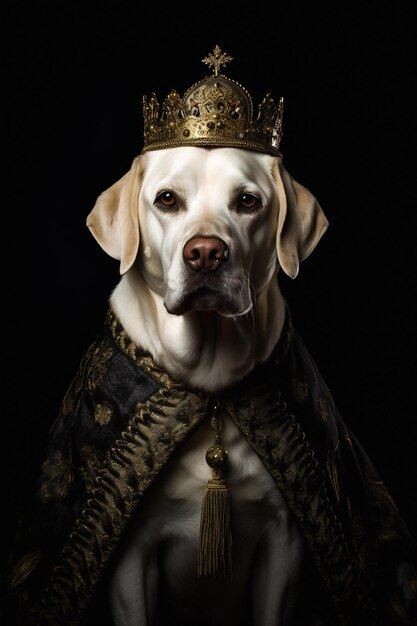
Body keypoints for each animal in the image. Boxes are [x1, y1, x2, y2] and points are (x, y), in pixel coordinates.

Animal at [86, 144, 328, 620]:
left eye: (247, 201)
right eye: (166, 199)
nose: (205, 253)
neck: (210, 383)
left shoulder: (283, 540)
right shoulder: (130, 552)